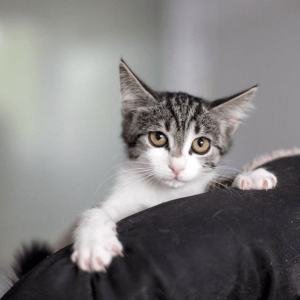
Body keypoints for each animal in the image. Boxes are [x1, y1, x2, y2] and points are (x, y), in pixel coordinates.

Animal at [69, 59, 276, 274]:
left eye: (201, 144)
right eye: (158, 137)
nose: (176, 167)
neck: (165, 192)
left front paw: (251, 175)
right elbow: (95, 211)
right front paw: (94, 242)